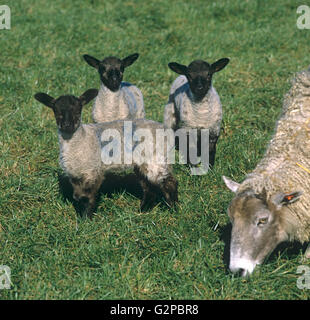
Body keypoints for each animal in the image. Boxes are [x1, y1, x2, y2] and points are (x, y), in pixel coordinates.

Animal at [33, 89, 177, 218]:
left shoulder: (93, 171)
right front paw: (80, 217)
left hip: (155, 158)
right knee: (149, 186)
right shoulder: (75, 174)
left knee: (169, 182)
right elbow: (78, 196)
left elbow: (87, 197)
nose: (67, 125)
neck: (81, 140)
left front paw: (86, 220)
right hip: (142, 162)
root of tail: (167, 132)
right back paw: (143, 210)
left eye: (78, 110)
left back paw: (173, 209)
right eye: (56, 111)